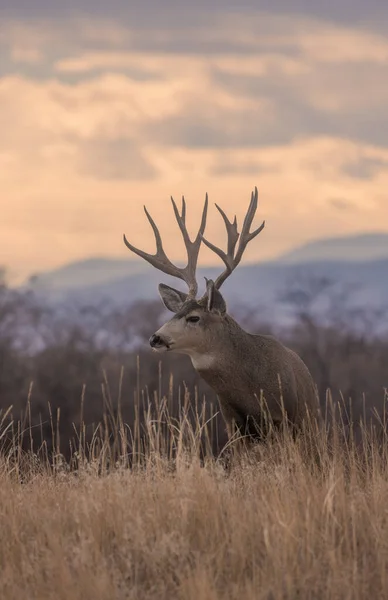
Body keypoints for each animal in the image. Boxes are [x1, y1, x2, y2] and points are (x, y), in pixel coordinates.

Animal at [124, 188, 322, 446]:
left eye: (194, 318)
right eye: (175, 313)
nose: (155, 338)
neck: (250, 393)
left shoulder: (284, 420)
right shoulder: (233, 425)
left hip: (309, 422)